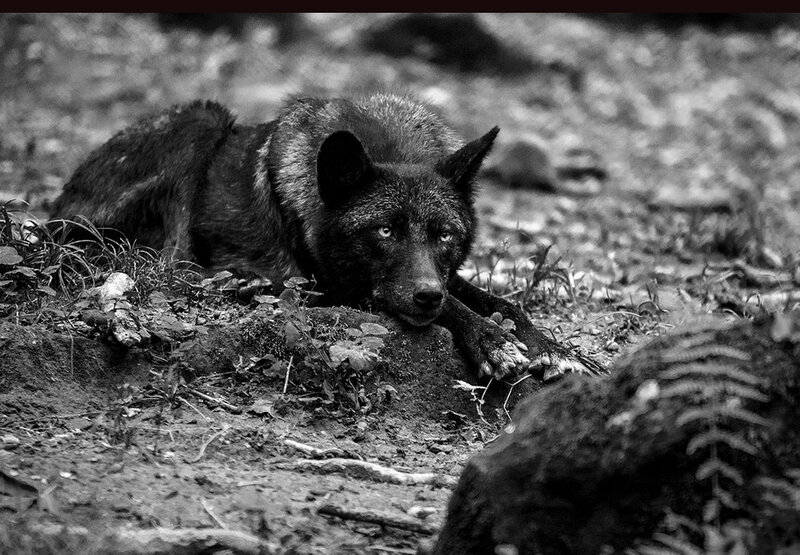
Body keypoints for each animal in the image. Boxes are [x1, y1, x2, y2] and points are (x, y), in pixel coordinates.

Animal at [51, 93, 598, 379]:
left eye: (443, 236)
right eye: (384, 230)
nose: (426, 296)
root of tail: (59, 206)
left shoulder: (442, 276)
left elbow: (504, 302)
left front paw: (556, 349)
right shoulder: (342, 286)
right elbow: (461, 306)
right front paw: (491, 340)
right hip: (202, 119)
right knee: (175, 262)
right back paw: (241, 281)